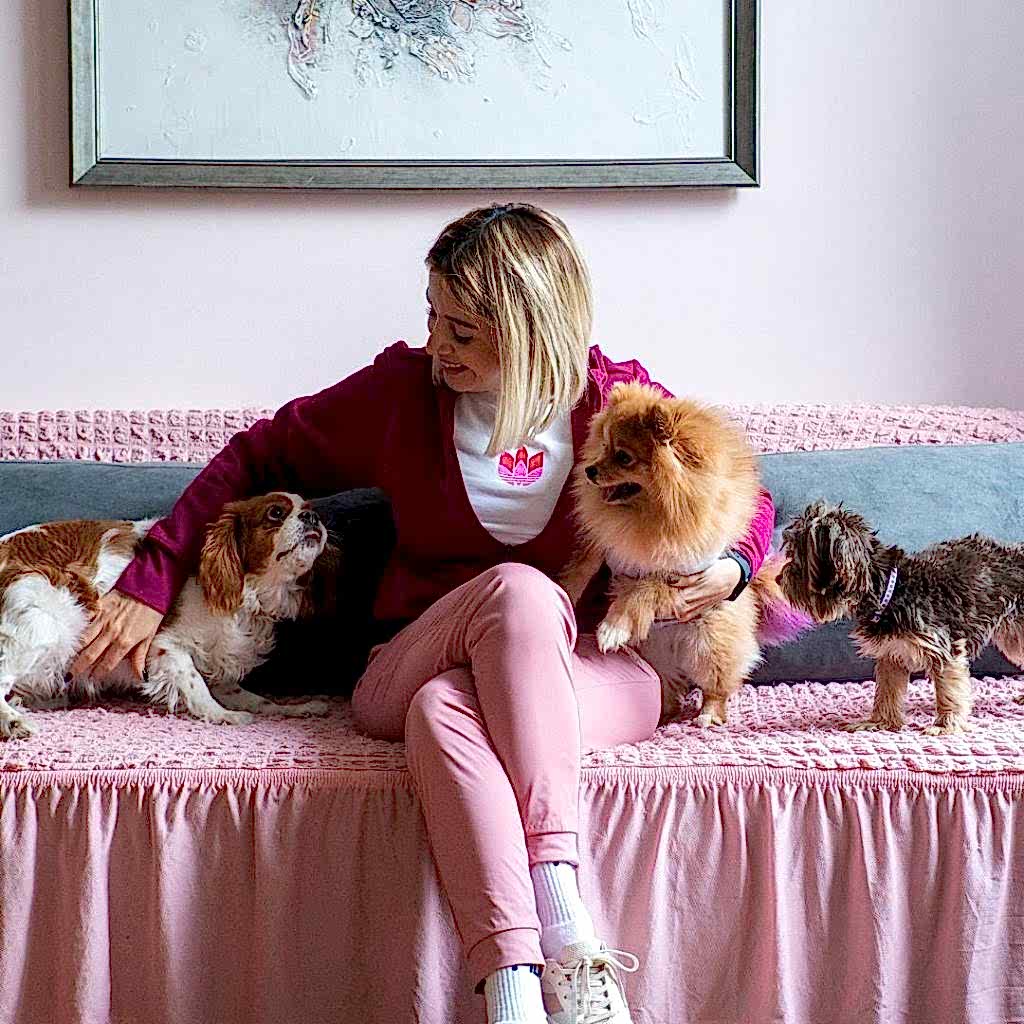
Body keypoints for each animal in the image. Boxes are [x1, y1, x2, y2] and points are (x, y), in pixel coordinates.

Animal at [0, 492, 339, 740]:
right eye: (275, 513)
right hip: (43, 620)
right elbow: (196, 686)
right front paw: (223, 716)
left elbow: (256, 699)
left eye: (310, 509)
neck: (248, 594)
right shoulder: (165, 646)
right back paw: (14, 722)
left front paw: (297, 708)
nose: (313, 517)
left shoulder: (220, 660)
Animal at [560, 382, 808, 727]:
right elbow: (583, 564)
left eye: (623, 457)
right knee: (669, 691)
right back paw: (665, 715)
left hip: (710, 644)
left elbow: (641, 590)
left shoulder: (679, 571)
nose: (590, 470)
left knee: (717, 685)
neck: (648, 515)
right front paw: (563, 590)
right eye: (604, 446)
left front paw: (613, 627)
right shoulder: (608, 541)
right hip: (655, 659)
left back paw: (708, 715)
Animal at [779, 500, 1024, 734]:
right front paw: (879, 722)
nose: (779, 579)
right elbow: (887, 691)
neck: (890, 588)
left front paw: (945, 725)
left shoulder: (944, 650)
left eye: (797, 559)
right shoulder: (891, 653)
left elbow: (948, 691)